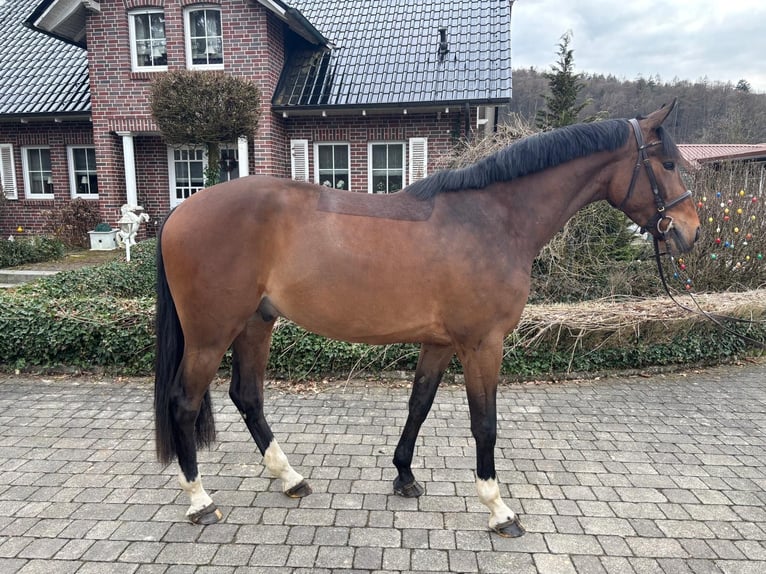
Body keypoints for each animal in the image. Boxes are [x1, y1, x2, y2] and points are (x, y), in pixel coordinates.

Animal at [154, 101, 700, 537]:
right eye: (668, 162)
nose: (690, 231)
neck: (494, 219)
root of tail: (180, 211)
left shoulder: (439, 343)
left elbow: (419, 405)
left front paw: (404, 476)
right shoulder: (482, 344)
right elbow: (485, 424)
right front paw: (498, 509)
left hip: (256, 323)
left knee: (247, 396)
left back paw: (290, 477)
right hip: (210, 335)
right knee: (184, 403)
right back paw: (200, 501)